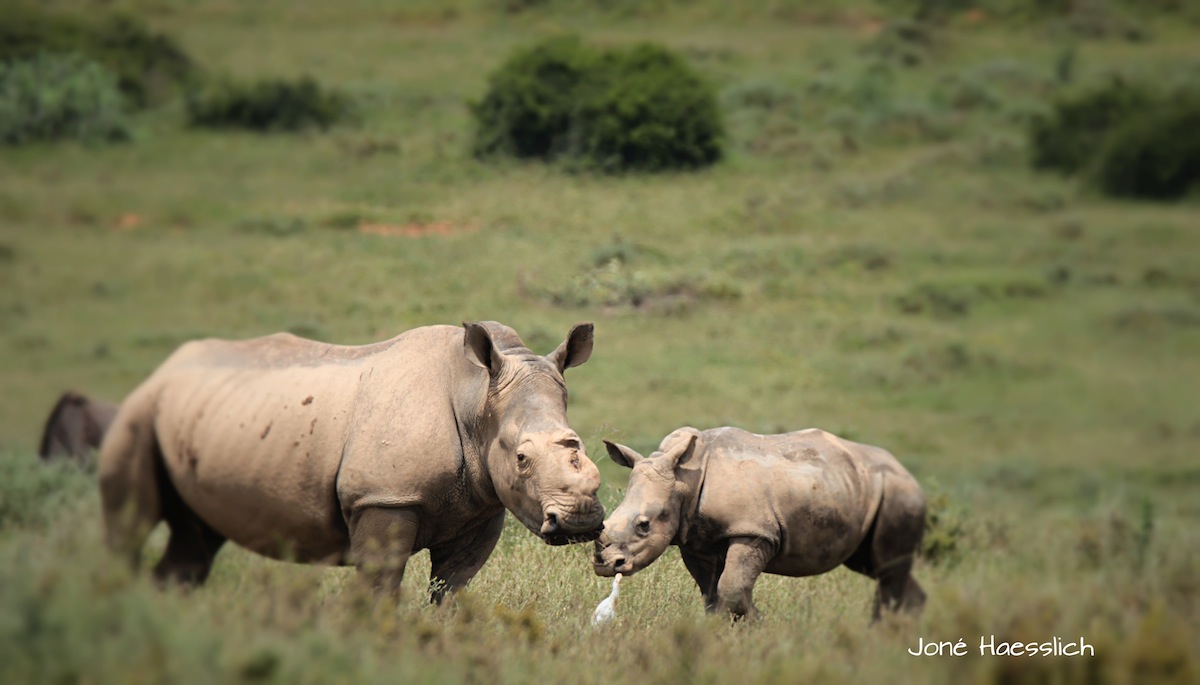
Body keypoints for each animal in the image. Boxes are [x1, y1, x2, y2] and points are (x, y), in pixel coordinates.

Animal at [99, 321, 604, 601]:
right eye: (521, 458)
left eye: (581, 448)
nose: (580, 521)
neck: (476, 397)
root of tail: (163, 371)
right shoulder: (384, 497)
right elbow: (380, 588)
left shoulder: (482, 508)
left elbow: (450, 590)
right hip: (141, 412)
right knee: (131, 526)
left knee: (194, 539)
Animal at [593, 426, 926, 621]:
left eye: (644, 525)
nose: (604, 565)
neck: (684, 476)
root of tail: (909, 475)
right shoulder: (696, 540)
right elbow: (712, 594)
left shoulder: (753, 532)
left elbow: (732, 587)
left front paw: (758, 625)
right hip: (862, 488)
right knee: (878, 566)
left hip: (897, 493)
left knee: (888, 566)